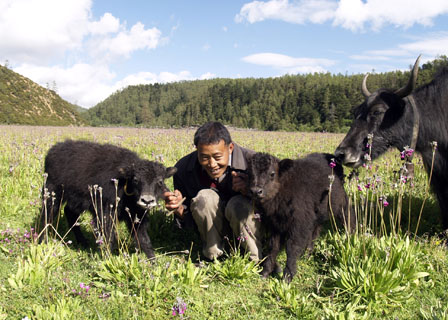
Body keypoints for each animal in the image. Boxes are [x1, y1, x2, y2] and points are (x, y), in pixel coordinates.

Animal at [39, 139, 177, 258]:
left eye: (160, 181)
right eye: (135, 179)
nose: (147, 200)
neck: (123, 181)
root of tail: (53, 150)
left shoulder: (136, 217)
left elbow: (144, 239)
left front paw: (152, 261)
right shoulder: (105, 213)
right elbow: (109, 237)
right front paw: (107, 257)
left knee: (69, 213)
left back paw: (83, 242)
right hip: (53, 195)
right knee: (47, 215)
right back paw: (41, 241)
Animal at [245, 152, 354, 280]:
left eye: (272, 174)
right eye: (249, 173)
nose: (256, 191)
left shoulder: (299, 225)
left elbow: (292, 247)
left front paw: (287, 276)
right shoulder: (275, 225)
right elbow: (273, 247)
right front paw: (265, 272)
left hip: (340, 204)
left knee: (349, 217)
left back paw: (351, 237)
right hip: (317, 214)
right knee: (315, 232)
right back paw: (307, 254)